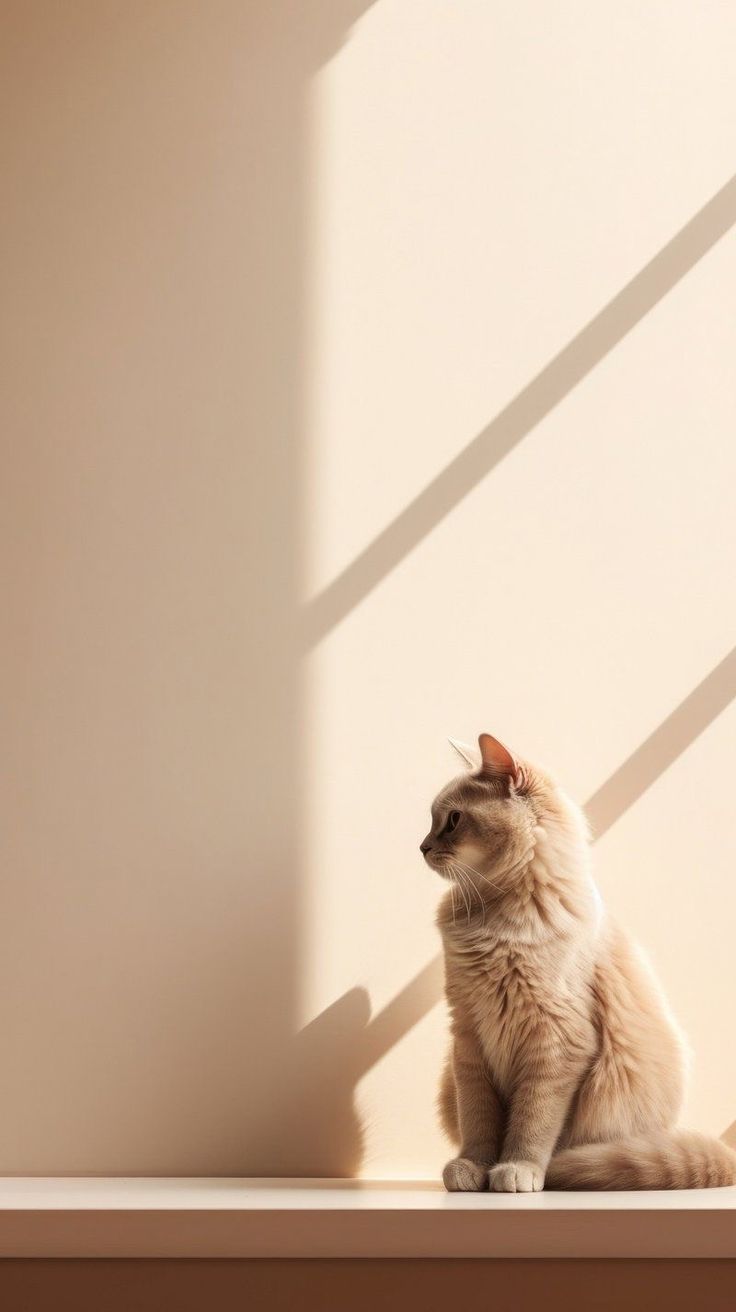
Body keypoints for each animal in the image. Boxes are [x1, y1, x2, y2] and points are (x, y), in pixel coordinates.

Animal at [419, 734, 734, 1196]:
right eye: (433, 820)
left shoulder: (558, 1041)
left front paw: (517, 1169)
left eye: (454, 820)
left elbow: (532, 1122)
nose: (421, 847)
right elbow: (478, 1119)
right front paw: (473, 1167)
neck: (495, 919)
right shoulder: (469, 1038)